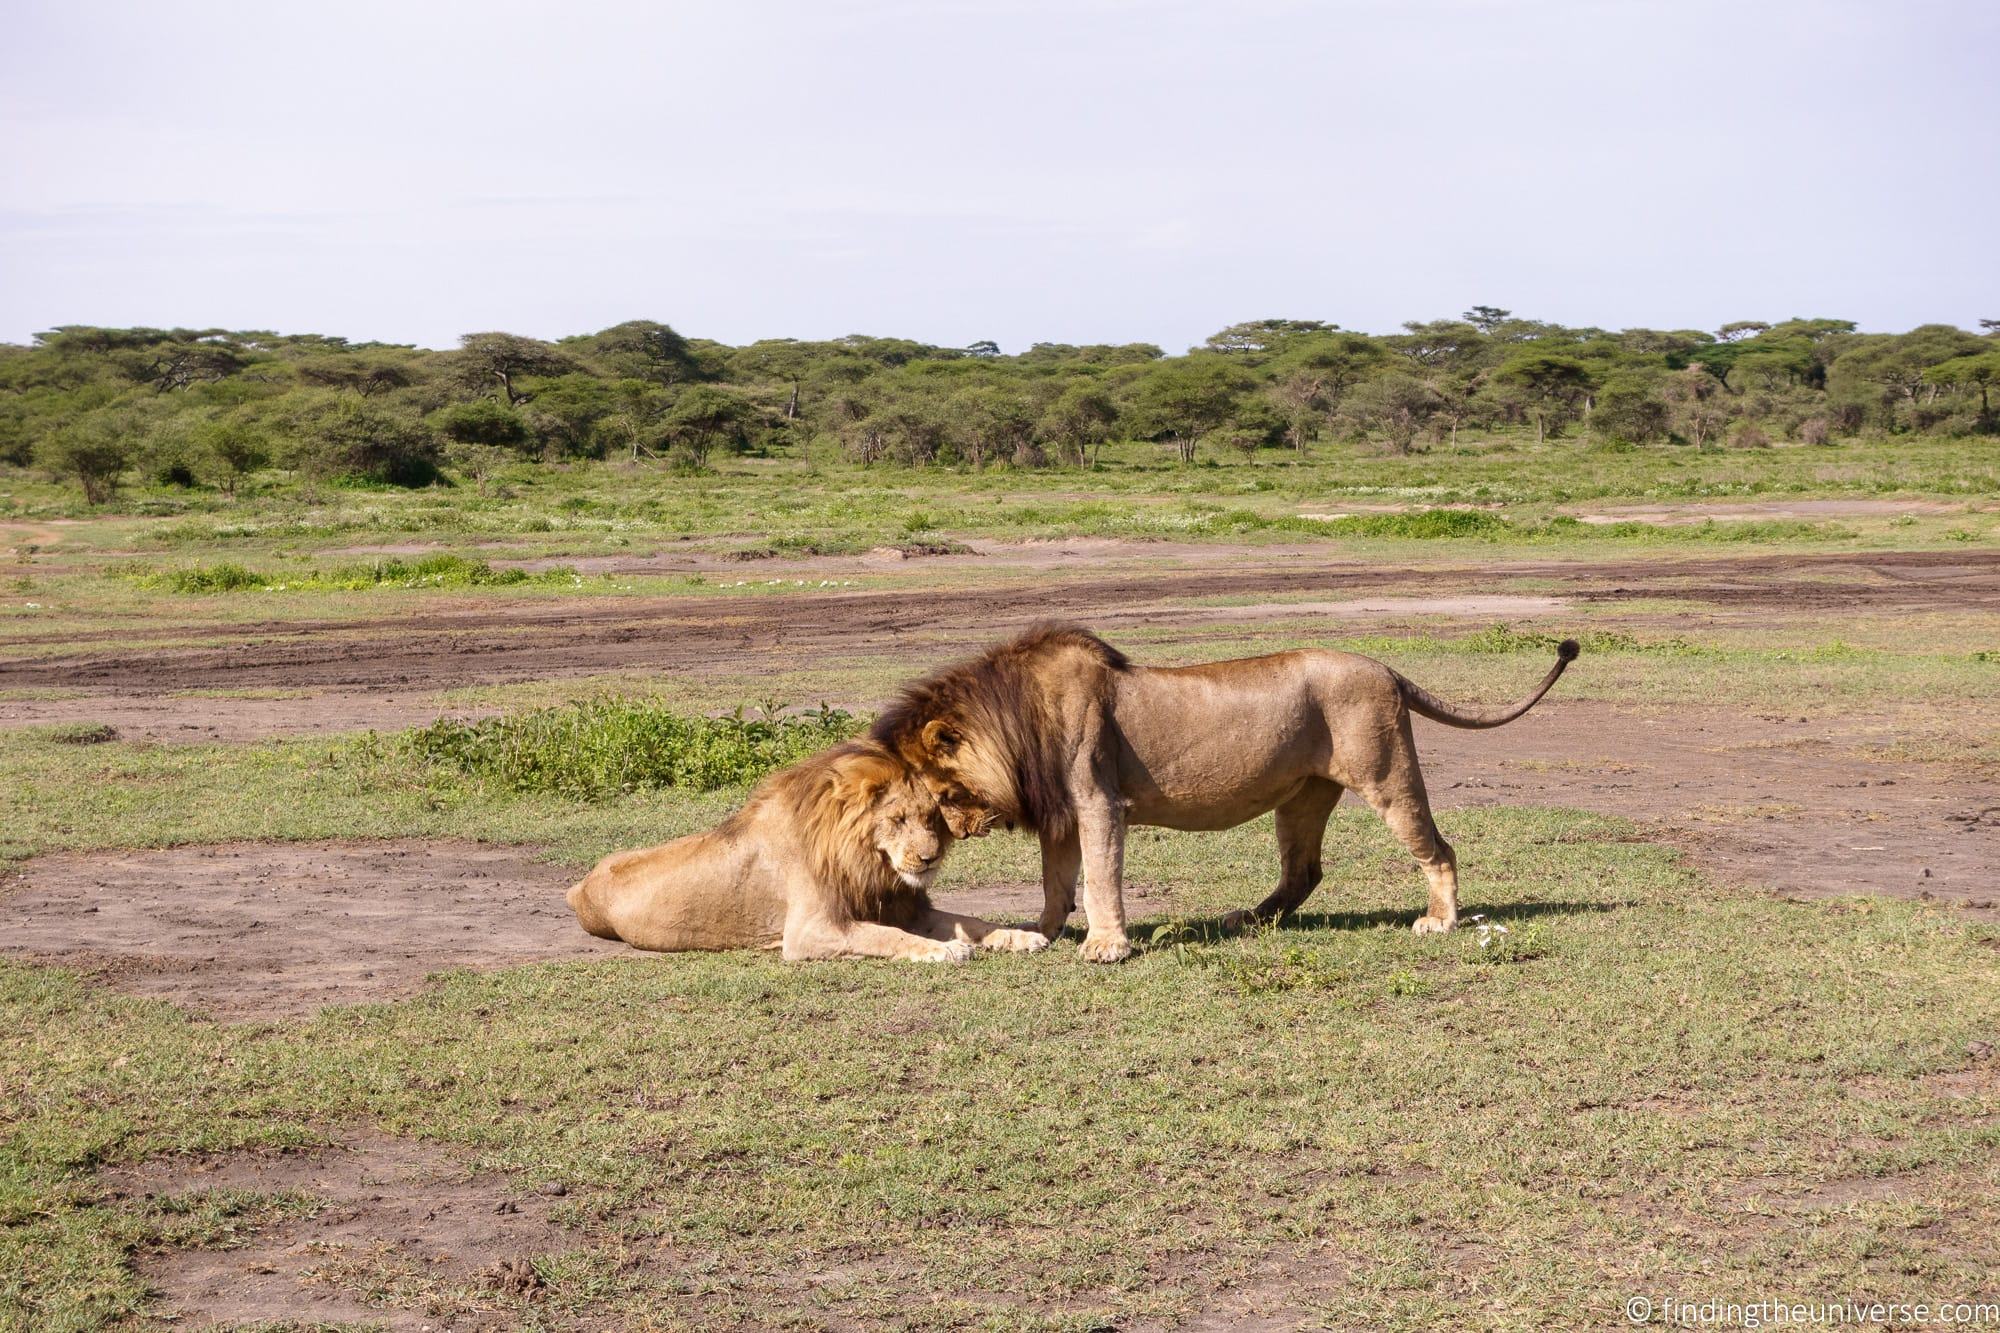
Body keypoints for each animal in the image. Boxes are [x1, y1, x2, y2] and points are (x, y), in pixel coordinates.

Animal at [568, 736, 1048, 956]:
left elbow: (973, 920)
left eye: (931, 819)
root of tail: (579, 885)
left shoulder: (907, 907)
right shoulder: (809, 930)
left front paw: (1022, 935)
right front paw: (942, 950)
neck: (868, 863)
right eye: (897, 820)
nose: (929, 859)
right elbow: (885, 936)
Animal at [872, 620, 1576, 956]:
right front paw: (1041, 933)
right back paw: (1247, 919)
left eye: (941, 795)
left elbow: (1098, 877)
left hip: (1387, 773)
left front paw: (1106, 946)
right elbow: (1055, 881)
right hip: (1303, 797)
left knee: (1438, 849)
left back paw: (1440, 921)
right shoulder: (1062, 814)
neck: (1017, 720)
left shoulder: (1099, 801)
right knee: (1304, 870)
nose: (955, 836)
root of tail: (1388, 669)